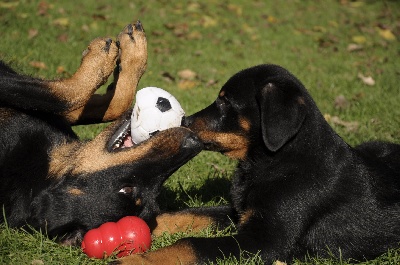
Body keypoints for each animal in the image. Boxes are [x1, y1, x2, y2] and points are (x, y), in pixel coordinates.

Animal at [0, 21, 202, 245]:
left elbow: (67, 99)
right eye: (126, 189)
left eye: (153, 194)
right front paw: (126, 53)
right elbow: (76, 99)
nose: (194, 142)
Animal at [115, 64, 400, 264]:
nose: (185, 121)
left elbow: (192, 243)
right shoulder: (239, 212)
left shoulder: (264, 242)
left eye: (225, 102)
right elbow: (189, 215)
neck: (274, 161)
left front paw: (137, 260)